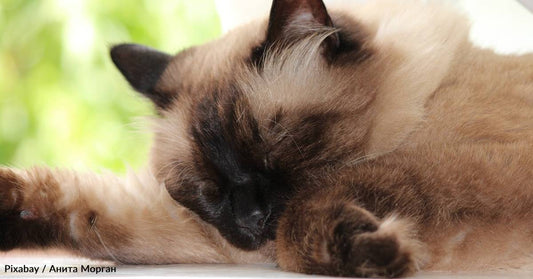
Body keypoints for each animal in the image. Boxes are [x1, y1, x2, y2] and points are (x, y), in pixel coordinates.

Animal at [1, 0, 532, 278]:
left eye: (276, 148)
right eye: (208, 189)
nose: (252, 219)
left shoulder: (479, 160)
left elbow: (312, 208)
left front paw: (377, 252)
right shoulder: (216, 241)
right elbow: (89, 212)